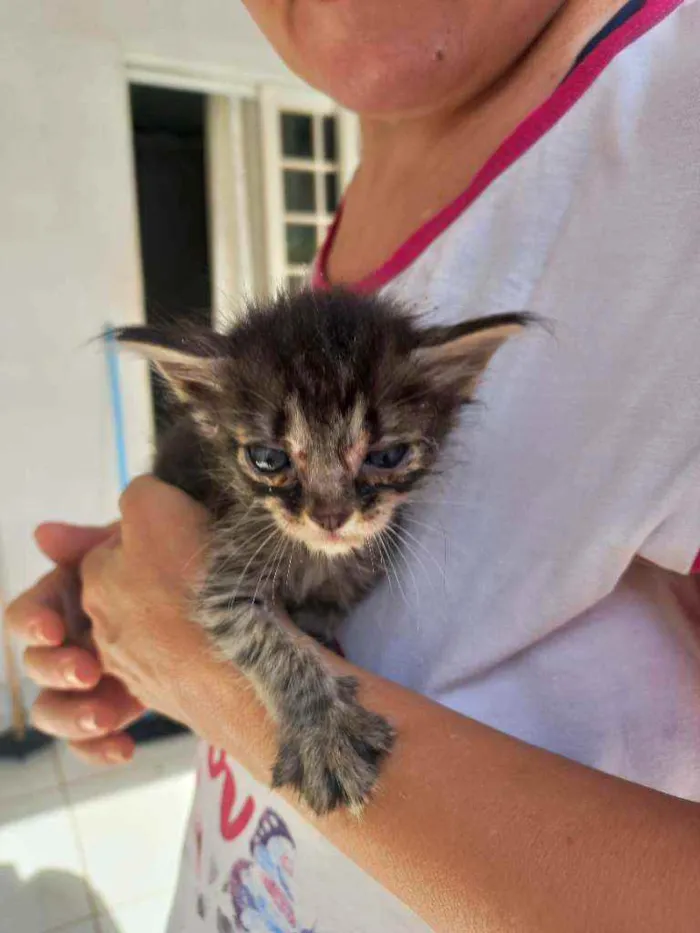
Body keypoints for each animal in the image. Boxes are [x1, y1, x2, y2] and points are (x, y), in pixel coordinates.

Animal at [115, 288, 528, 812]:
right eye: (268, 459)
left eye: (387, 457)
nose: (330, 516)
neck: (317, 560)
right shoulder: (228, 578)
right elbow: (269, 642)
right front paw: (326, 734)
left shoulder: (352, 576)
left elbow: (321, 613)